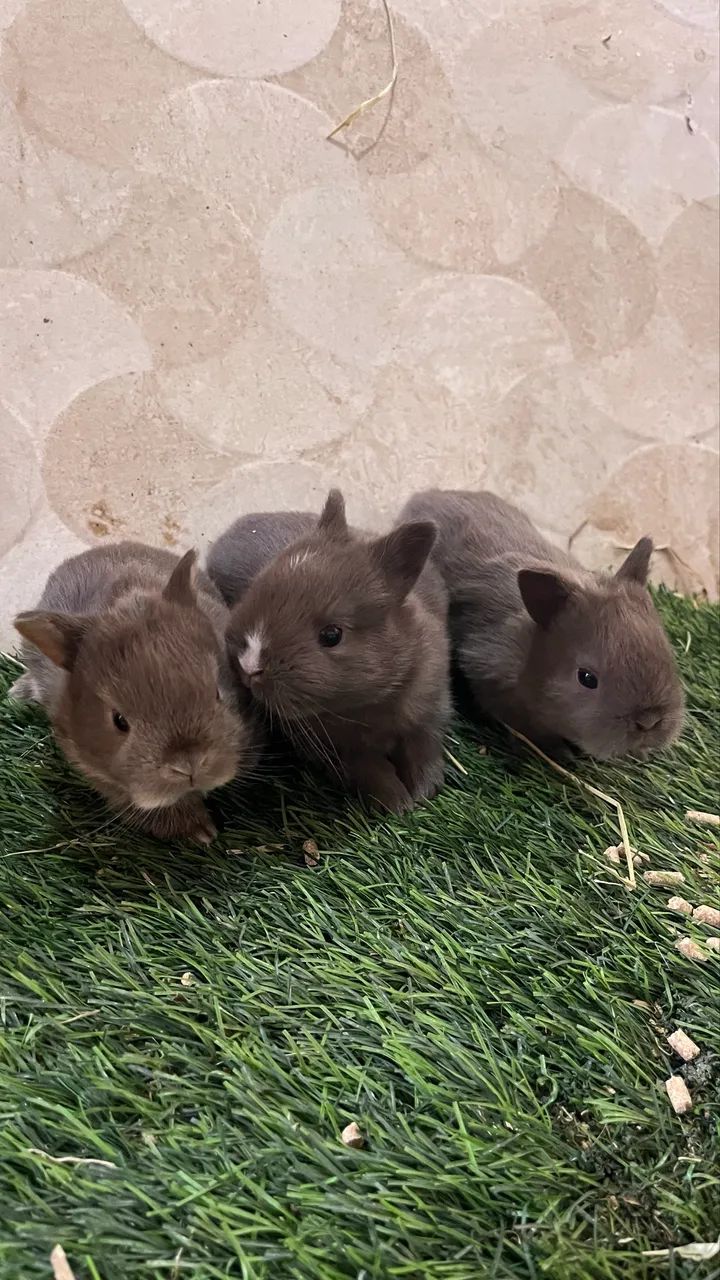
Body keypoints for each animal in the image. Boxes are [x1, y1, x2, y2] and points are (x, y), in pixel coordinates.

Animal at [211, 490, 451, 814]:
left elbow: (423, 752)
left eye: (331, 635)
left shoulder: (429, 713)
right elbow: (373, 773)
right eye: (256, 587)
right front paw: (398, 805)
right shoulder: (343, 753)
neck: (367, 705)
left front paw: (424, 793)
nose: (249, 667)